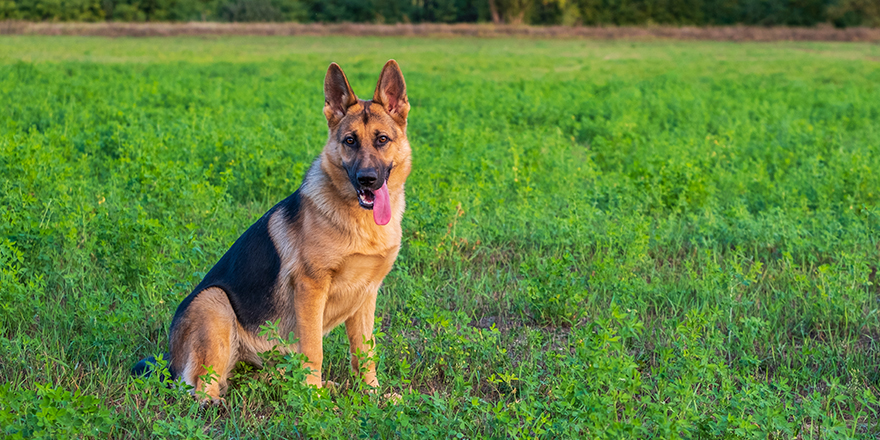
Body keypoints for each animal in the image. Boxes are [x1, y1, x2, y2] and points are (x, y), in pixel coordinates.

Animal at [131, 60, 412, 404]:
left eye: (382, 139)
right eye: (350, 141)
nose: (367, 180)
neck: (359, 220)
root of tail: (170, 360)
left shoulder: (366, 294)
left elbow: (365, 354)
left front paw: (372, 396)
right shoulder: (310, 289)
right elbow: (314, 350)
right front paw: (314, 400)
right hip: (214, 302)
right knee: (198, 386)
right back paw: (219, 404)